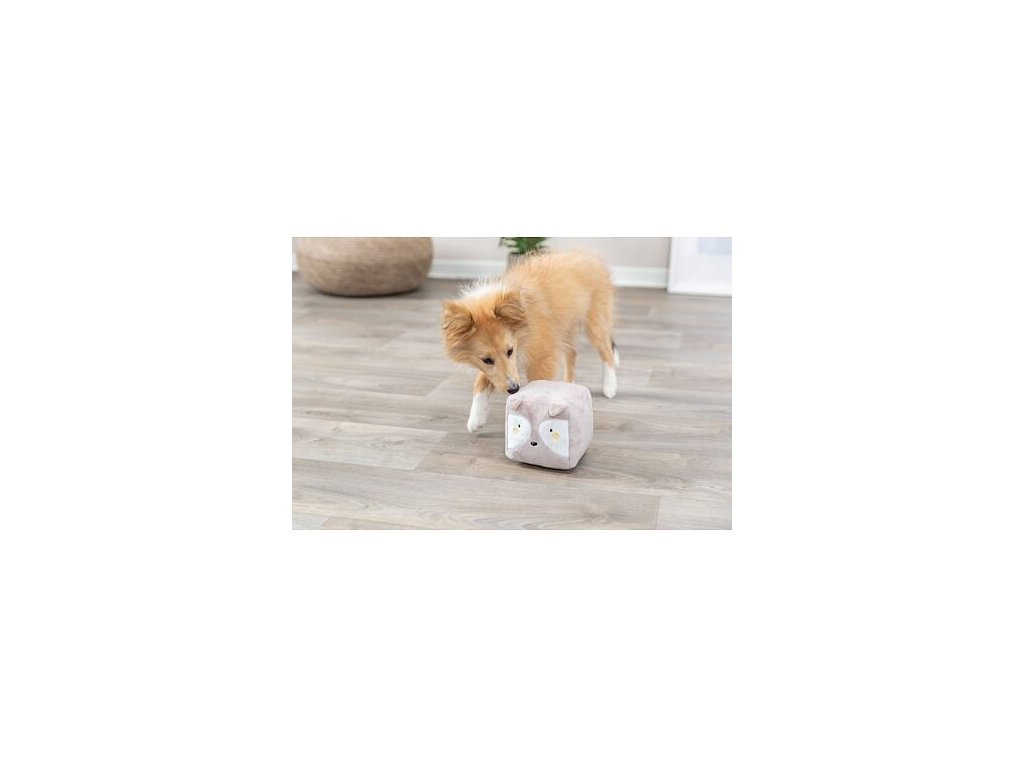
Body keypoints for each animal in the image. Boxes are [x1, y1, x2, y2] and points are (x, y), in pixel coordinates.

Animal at [441, 249, 619, 433]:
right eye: (487, 359)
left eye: (510, 350)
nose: (514, 389)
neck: (521, 328)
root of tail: (589, 256)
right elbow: (481, 381)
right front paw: (476, 418)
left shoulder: (542, 357)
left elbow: (538, 386)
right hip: (565, 329)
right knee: (573, 353)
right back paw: (569, 384)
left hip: (595, 321)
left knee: (607, 351)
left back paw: (609, 386)